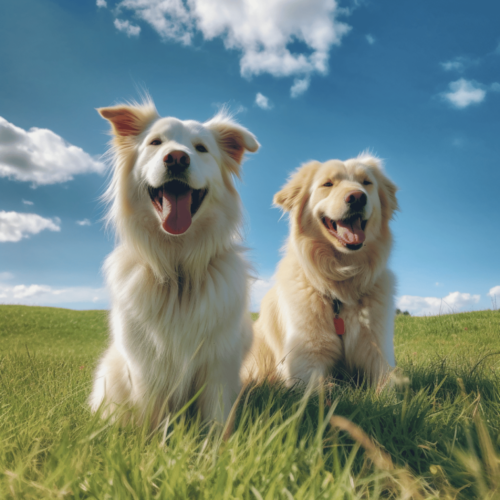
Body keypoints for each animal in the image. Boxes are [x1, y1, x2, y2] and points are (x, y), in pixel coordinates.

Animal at [90, 98, 260, 426]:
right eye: (155, 142)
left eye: (201, 148)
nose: (177, 159)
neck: (178, 269)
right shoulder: (147, 369)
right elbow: (151, 421)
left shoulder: (219, 366)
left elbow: (217, 421)